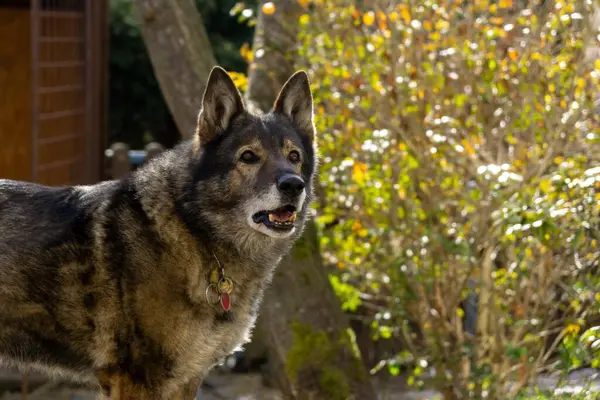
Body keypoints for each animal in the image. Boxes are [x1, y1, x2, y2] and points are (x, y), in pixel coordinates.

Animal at [0, 67, 318, 398]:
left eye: (294, 156)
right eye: (248, 157)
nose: (293, 185)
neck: (194, 232)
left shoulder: (186, 379)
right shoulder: (136, 379)